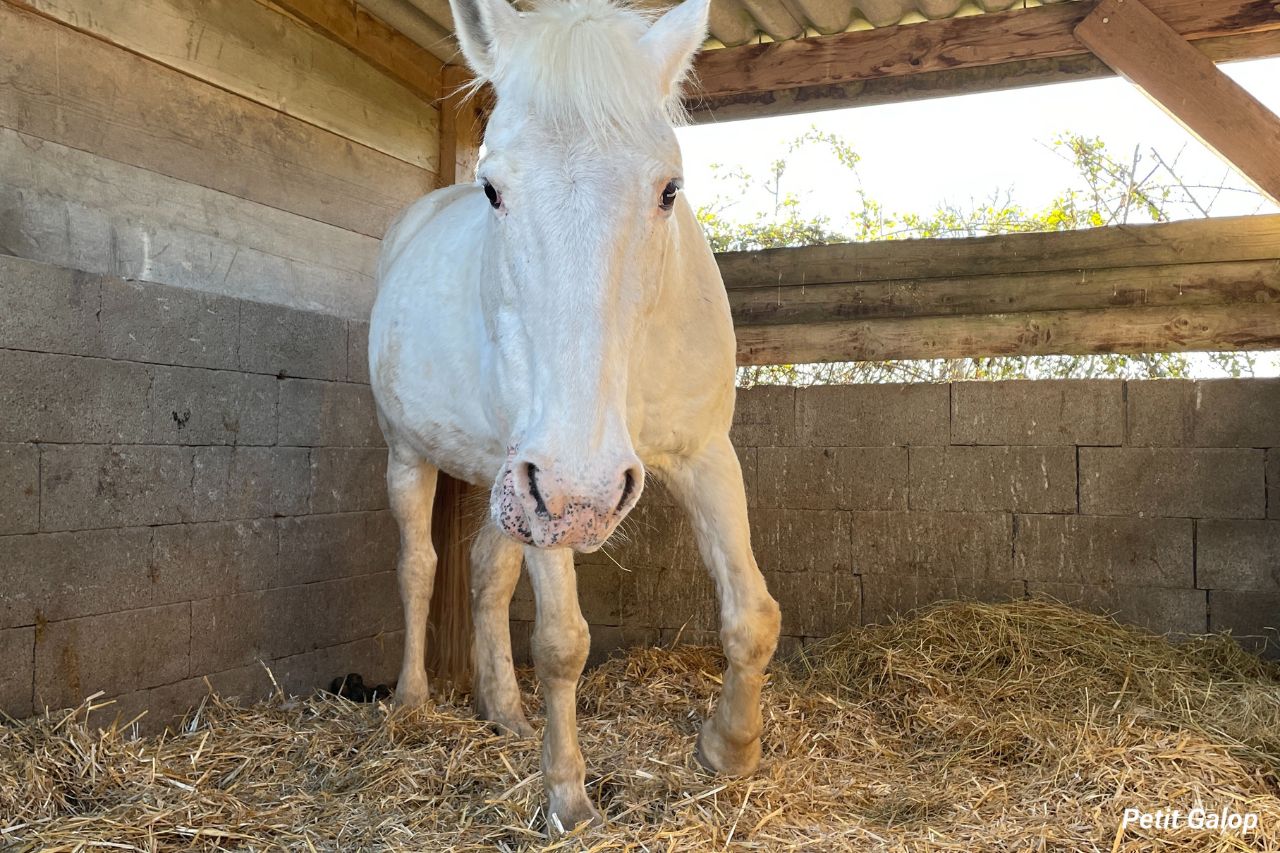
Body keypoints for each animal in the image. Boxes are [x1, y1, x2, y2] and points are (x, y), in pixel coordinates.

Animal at [368, 0, 781, 829]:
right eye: (493, 189)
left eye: (669, 189)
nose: (587, 491)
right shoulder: (546, 486)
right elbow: (562, 641)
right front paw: (567, 793)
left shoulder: (702, 455)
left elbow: (751, 612)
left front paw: (729, 749)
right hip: (422, 458)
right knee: (419, 567)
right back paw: (412, 703)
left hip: (512, 483)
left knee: (486, 573)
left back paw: (502, 710)